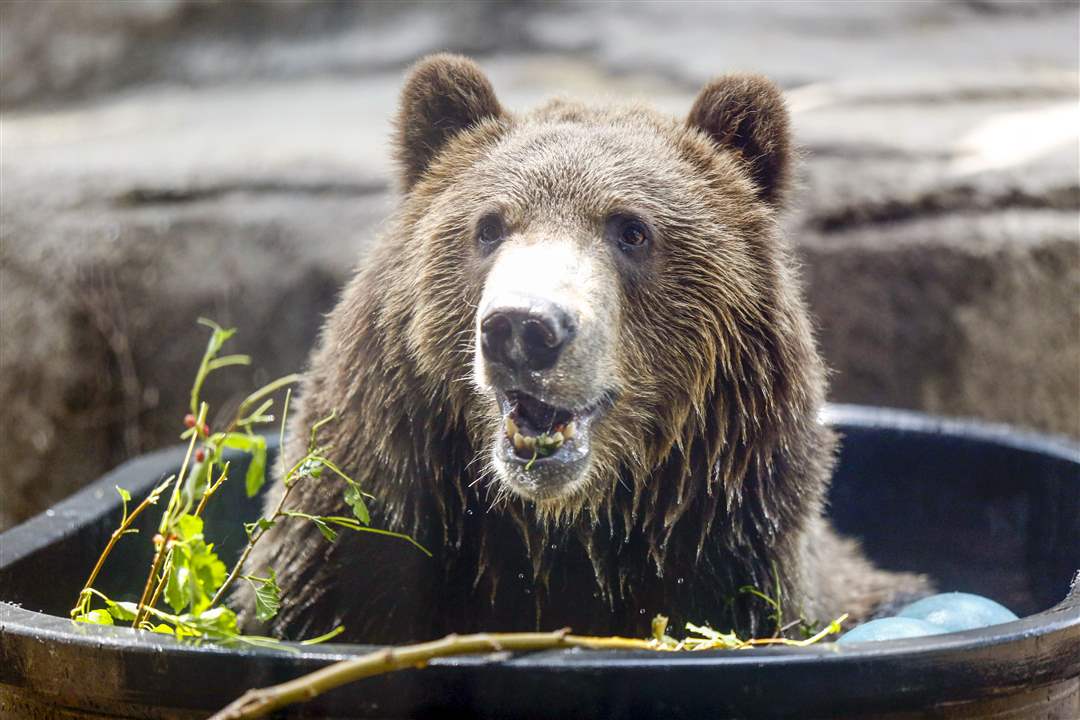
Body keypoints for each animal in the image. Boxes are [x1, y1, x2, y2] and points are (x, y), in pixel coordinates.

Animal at [234, 54, 926, 644]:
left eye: (632, 230)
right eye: (489, 226)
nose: (523, 328)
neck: (561, 533)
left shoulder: (742, 565)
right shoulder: (352, 553)